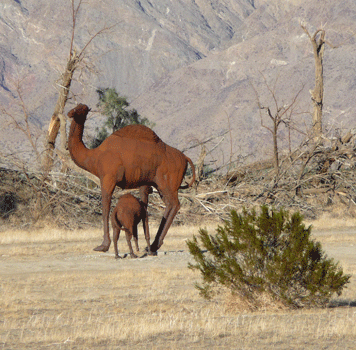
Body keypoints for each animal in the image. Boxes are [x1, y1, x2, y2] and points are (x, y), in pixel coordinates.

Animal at [67, 102, 195, 253]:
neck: (95, 157)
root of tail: (185, 158)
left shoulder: (108, 179)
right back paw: (154, 245)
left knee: (175, 204)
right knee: (170, 205)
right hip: (160, 185)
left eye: (82, 109)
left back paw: (154, 245)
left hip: (167, 183)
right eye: (77, 107)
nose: (70, 113)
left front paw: (103, 246)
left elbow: (105, 209)